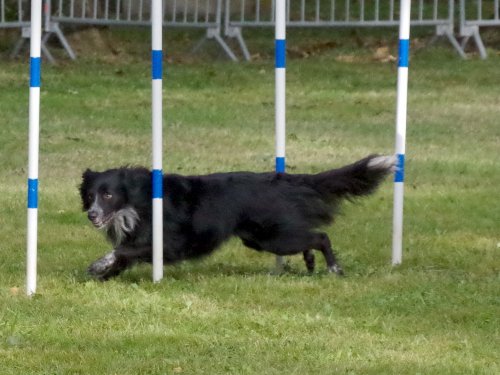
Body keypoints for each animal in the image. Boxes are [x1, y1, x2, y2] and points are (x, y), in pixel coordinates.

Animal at [80, 154, 396, 280]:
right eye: (91, 195)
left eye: (108, 195)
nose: (92, 215)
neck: (139, 200)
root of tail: (284, 180)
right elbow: (123, 255)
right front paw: (104, 276)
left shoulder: (168, 241)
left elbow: (123, 250)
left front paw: (98, 266)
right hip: (263, 237)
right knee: (308, 237)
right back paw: (309, 262)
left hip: (271, 236)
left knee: (321, 236)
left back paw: (333, 269)